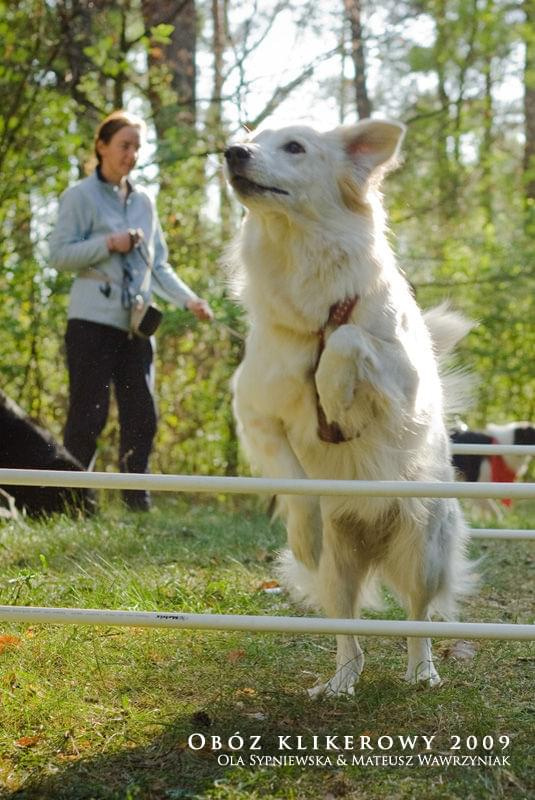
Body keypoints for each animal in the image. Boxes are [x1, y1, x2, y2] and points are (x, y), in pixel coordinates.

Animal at [224, 115, 476, 696]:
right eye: (250, 137)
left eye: (294, 147)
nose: (232, 153)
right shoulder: (254, 412)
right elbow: (294, 480)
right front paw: (303, 530)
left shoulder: (405, 384)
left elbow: (347, 340)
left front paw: (333, 392)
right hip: (337, 571)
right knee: (348, 630)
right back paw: (339, 684)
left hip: (424, 550)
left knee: (417, 617)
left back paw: (422, 671)